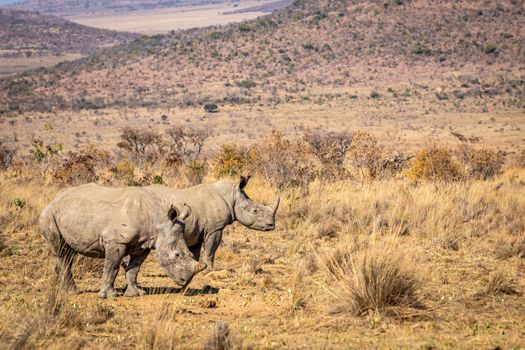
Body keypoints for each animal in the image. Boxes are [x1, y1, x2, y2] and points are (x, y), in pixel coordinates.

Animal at [37, 185, 206, 300]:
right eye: (177, 255)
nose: (185, 281)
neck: (157, 221)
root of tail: (53, 199)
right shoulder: (116, 241)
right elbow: (112, 267)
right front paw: (109, 296)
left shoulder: (143, 244)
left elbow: (134, 269)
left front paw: (136, 293)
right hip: (49, 214)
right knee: (62, 251)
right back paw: (72, 292)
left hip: (69, 213)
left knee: (67, 252)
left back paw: (61, 288)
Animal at [141, 176, 276, 272]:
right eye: (255, 210)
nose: (272, 225)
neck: (232, 197)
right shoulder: (214, 228)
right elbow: (211, 249)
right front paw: (209, 270)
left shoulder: (196, 230)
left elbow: (196, 252)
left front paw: (195, 268)